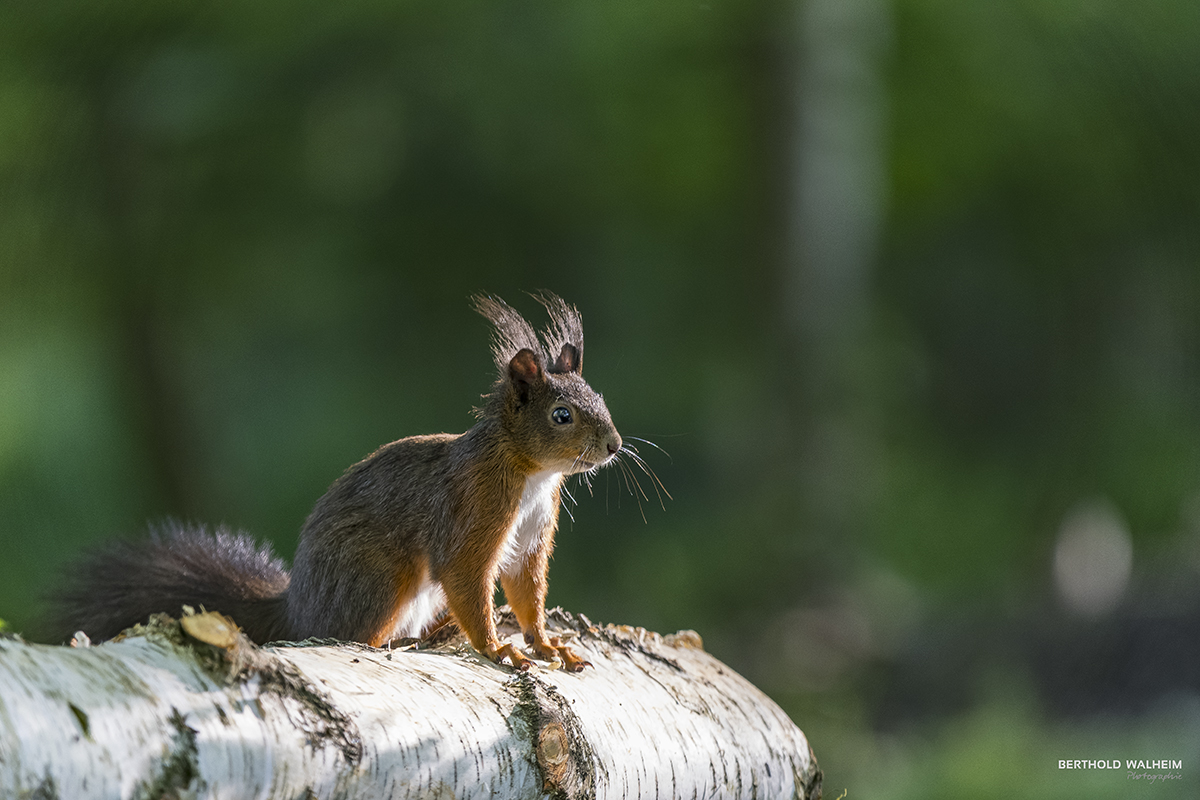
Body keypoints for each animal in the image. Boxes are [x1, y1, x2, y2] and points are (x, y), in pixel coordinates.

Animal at [52, 291, 624, 671]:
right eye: (562, 415)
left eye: (599, 397)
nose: (615, 446)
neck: (531, 475)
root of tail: (298, 610)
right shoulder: (473, 509)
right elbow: (465, 574)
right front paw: (497, 647)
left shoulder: (531, 535)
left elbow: (527, 590)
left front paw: (546, 643)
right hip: (377, 578)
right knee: (354, 632)